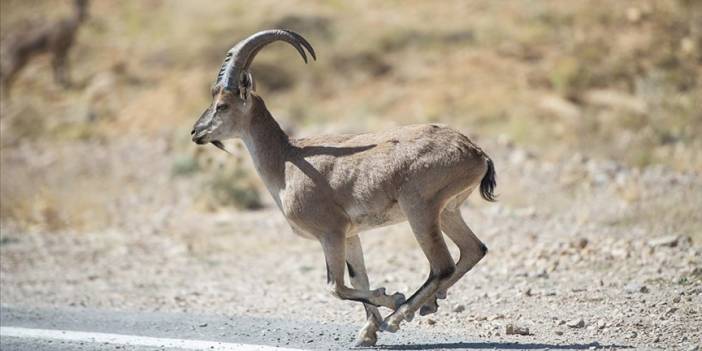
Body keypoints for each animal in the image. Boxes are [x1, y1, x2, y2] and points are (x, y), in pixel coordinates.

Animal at [192, 29, 498, 346]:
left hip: (420, 210)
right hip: (448, 211)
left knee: (442, 264)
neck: (287, 161)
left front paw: (391, 300)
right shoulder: (350, 235)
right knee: (473, 249)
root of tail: (475, 153)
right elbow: (357, 278)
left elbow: (335, 287)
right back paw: (424, 306)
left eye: (222, 105)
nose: (196, 132)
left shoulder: (331, 233)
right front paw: (367, 334)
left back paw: (399, 316)